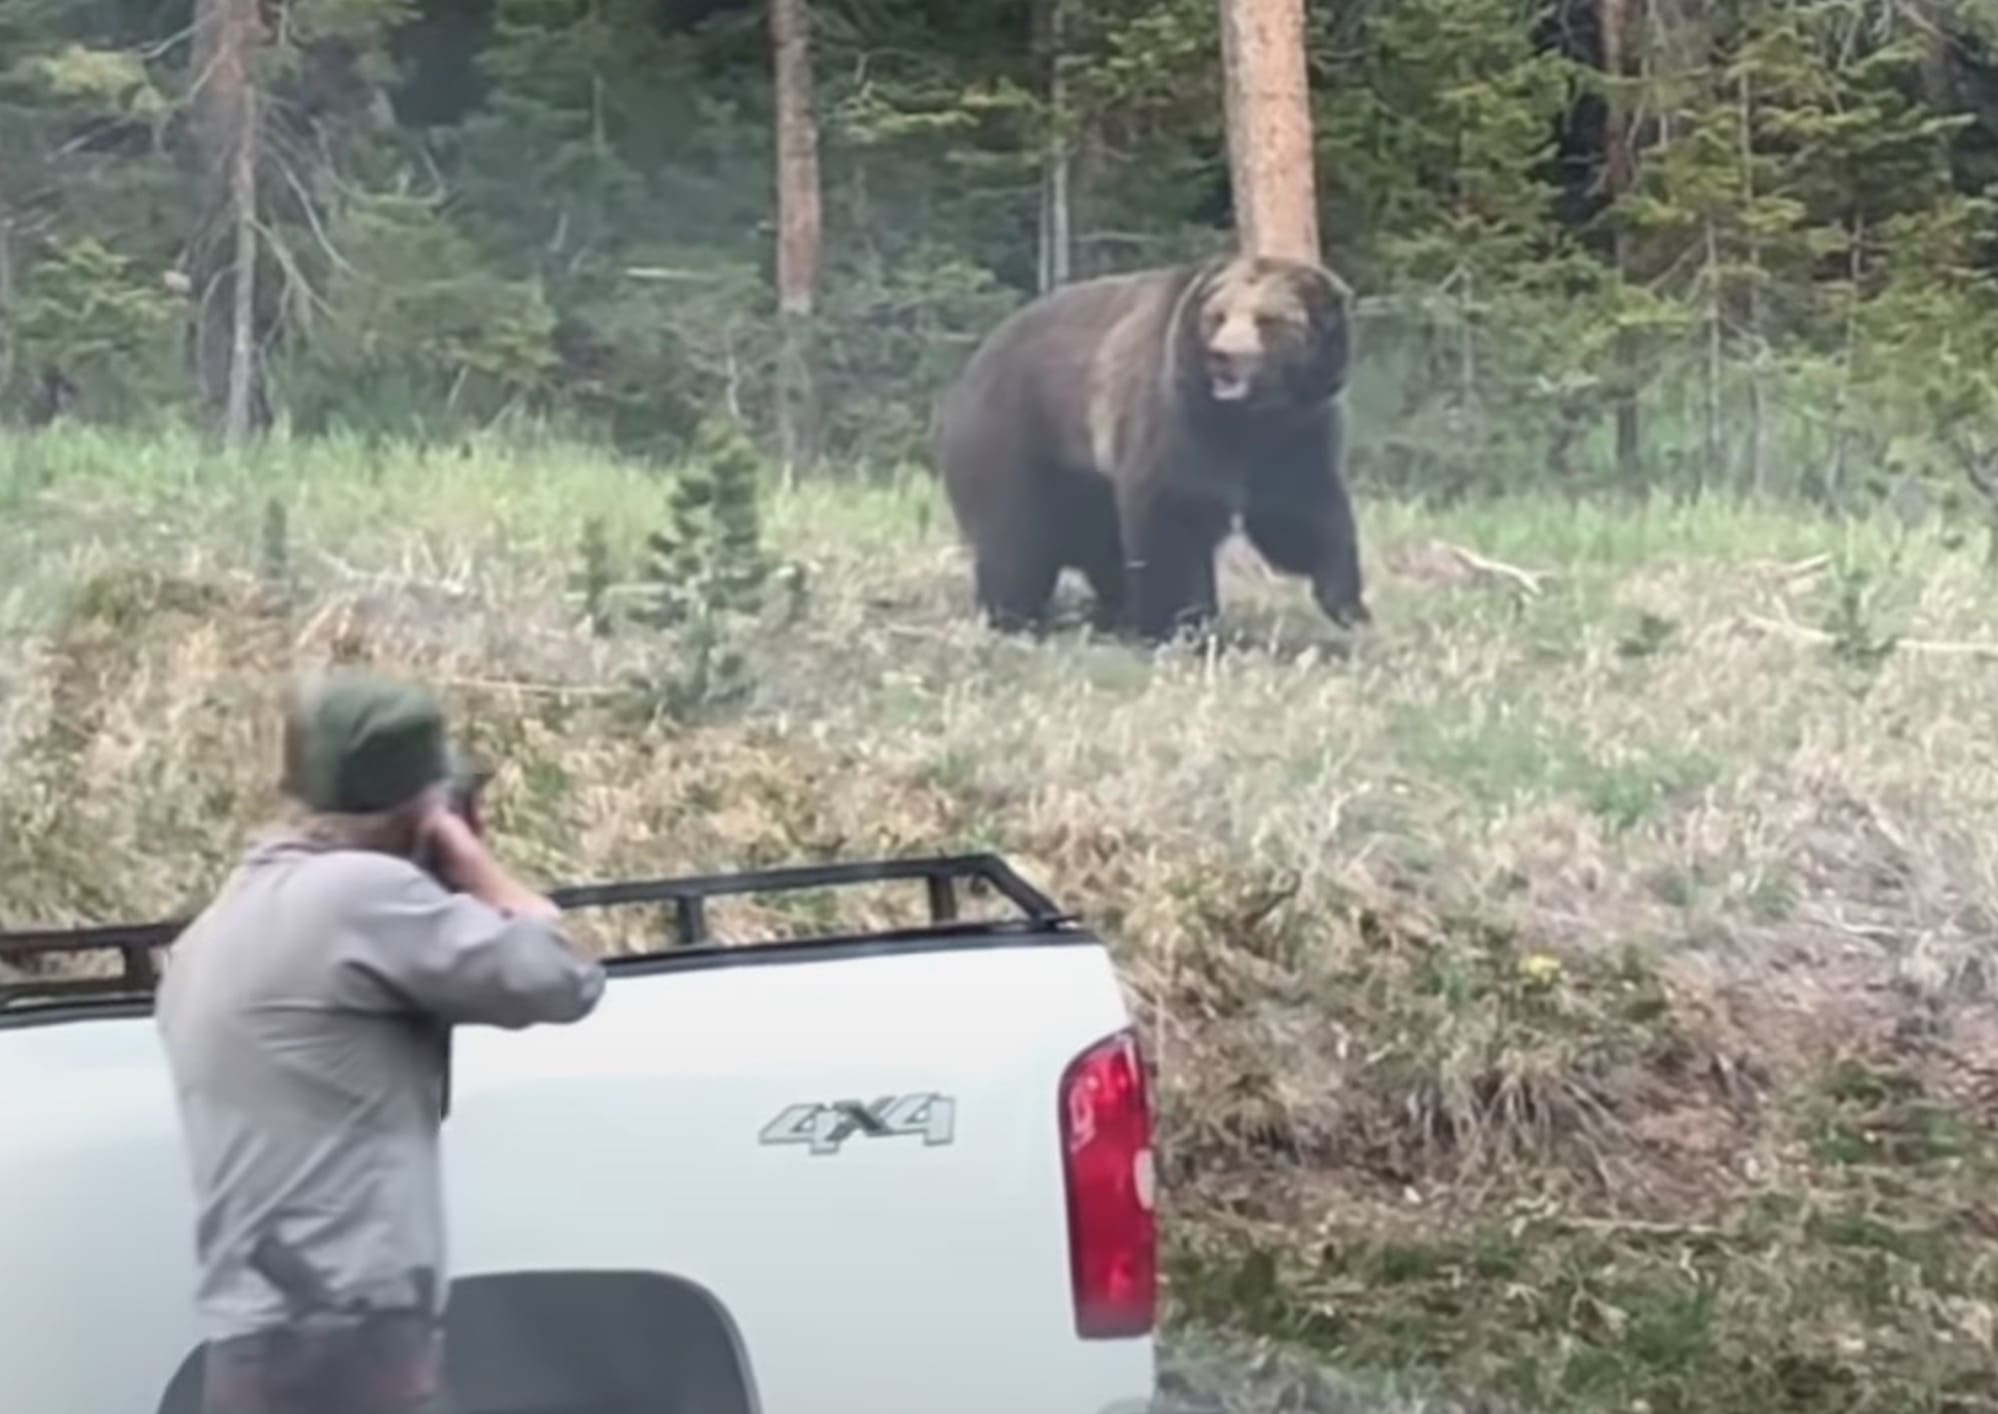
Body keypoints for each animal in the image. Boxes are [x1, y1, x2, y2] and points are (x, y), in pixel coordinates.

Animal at [927, 252, 1366, 639]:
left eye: (1267, 320)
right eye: (1217, 317)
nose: (1223, 356)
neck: (1245, 420)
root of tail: (973, 363)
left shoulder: (1298, 430)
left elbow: (1302, 511)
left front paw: (1347, 604)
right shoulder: (1177, 417)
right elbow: (1173, 514)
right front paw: (1182, 622)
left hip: (1086, 485)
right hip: (1022, 438)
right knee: (1017, 541)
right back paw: (1017, 617)